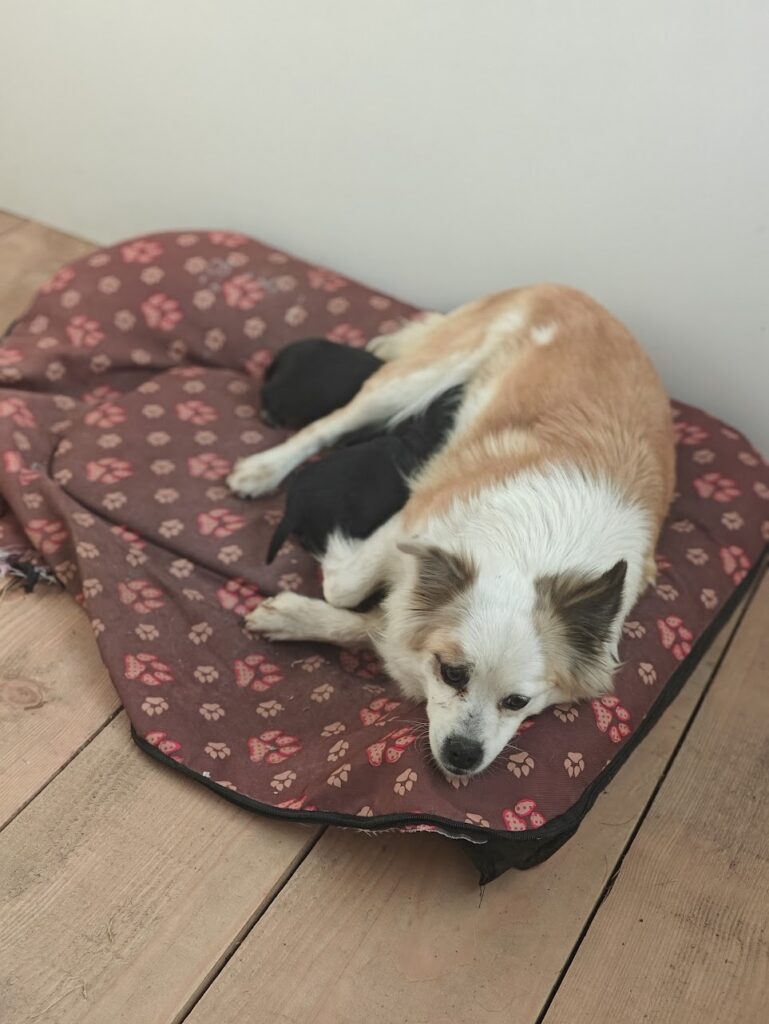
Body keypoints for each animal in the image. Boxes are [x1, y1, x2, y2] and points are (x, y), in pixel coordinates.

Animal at [229, 288, 675, 778]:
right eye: (452, 674)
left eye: (517, 702)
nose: (463, 756)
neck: (528, 559)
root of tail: (571, 291)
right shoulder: (414, 521)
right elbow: (346, 588)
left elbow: (376, 624)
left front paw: (295, 619)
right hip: (416, 377)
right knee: (327, 425)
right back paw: (262, 469)